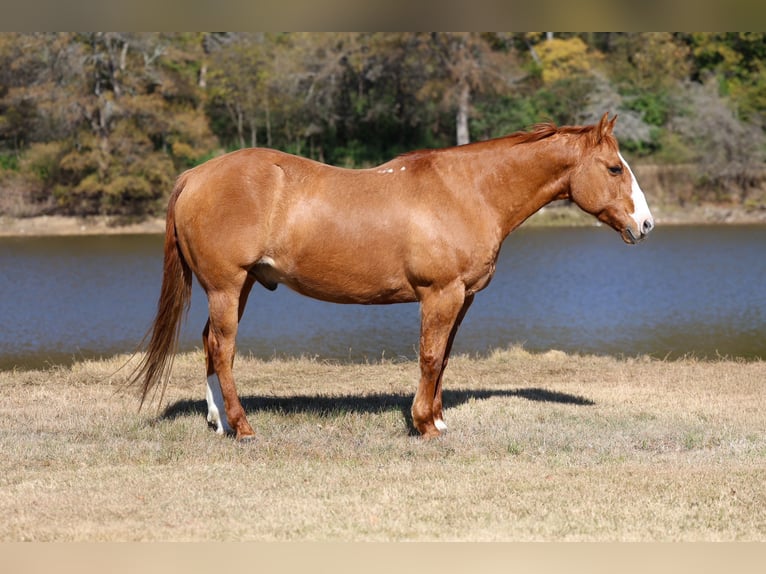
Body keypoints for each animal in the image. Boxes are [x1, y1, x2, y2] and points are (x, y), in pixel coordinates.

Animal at [130, 113, 654, 441]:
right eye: (613, 168)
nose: (646, 225)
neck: (467, 191)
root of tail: (196, 175)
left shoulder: (462, 298)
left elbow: (443, 359)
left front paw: (438, 420)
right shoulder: (440, 295)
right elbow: (429, 356)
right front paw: (423, 425)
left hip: (241, 286)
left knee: (210, 345)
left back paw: (219, 422)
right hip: (227, 286)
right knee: (223, 348)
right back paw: (242, 428)